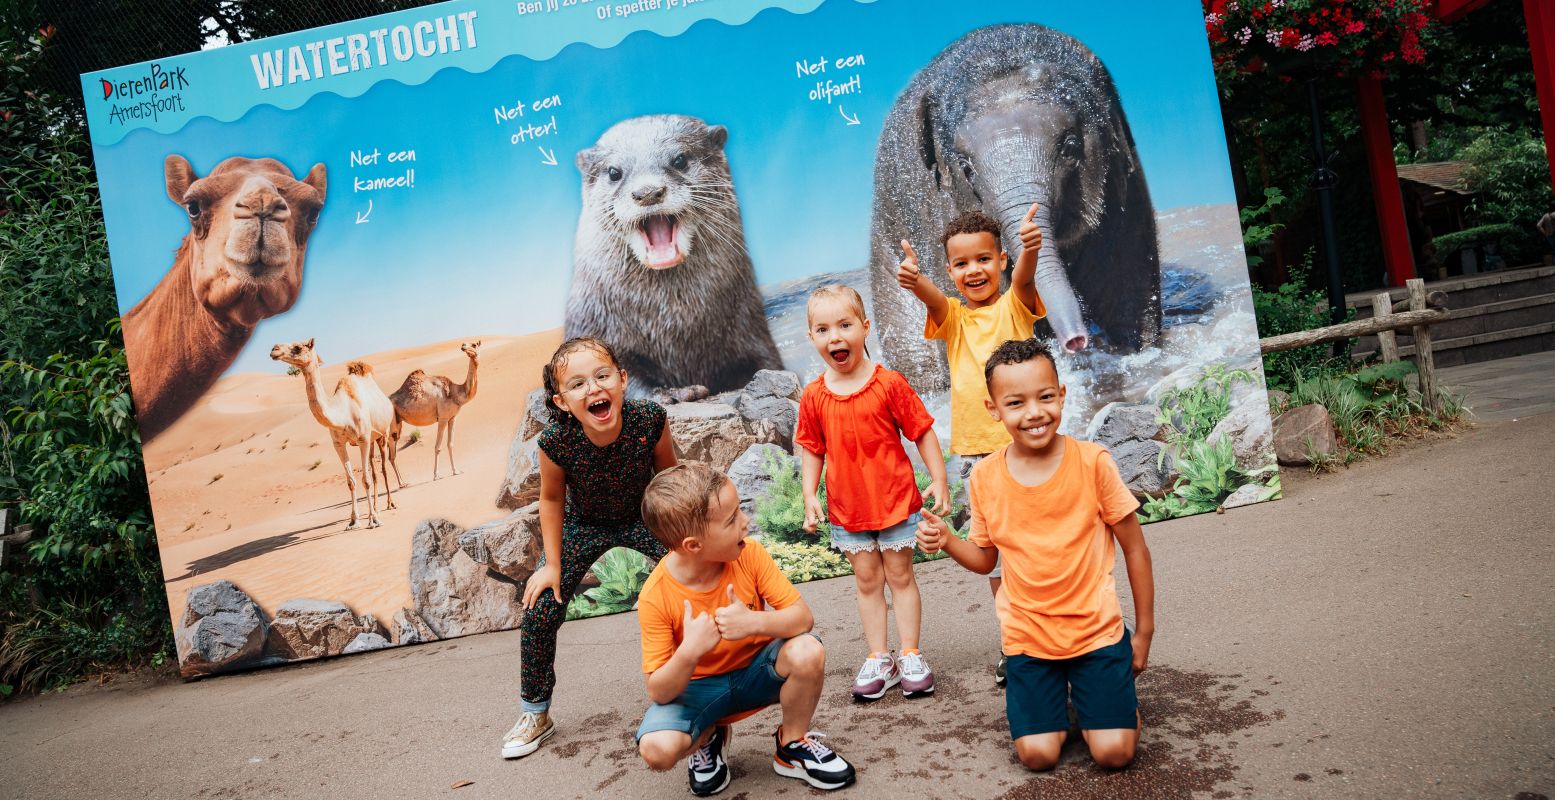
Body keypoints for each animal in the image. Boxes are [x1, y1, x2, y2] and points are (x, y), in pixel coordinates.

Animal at [265, 337, 391, 529]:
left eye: (298, 347)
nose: (274, 349)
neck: (343, 412)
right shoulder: (338, 444)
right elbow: (351, 482)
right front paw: (354, 521)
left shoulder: (363, 439)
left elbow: (365, 480)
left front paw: (374, 520)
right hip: (371, 440)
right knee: (374, 472)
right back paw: (376, 508)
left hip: (383, 434)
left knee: (383, 468)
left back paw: (389, 505)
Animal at [388, 339, 478, 482]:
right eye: (467, 344)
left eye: (474, 345)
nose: (463, 346)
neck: (455, 393)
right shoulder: (442, 418)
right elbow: (437, 447)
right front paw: (436, 475)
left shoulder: (452, 418)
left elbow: (450, 444)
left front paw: (456, 471)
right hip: (391, 424)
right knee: (390, 454)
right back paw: (401, 483)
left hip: (397, 423)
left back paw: (403, 483)